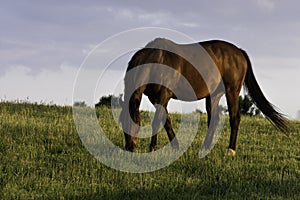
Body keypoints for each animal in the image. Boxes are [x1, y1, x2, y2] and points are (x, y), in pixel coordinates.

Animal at [118, 38, 288, 155]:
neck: (156, 60)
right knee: (214, 120)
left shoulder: (163, 96)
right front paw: (175, 147)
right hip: (213, 95)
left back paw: (230, 150)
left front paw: (153, 148)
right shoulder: (156, 99)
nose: (129, 148)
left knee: (235, 118)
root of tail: (239, 51)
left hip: (232, 91)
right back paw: (205, 148)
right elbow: (166, 122)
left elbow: (157, 122)